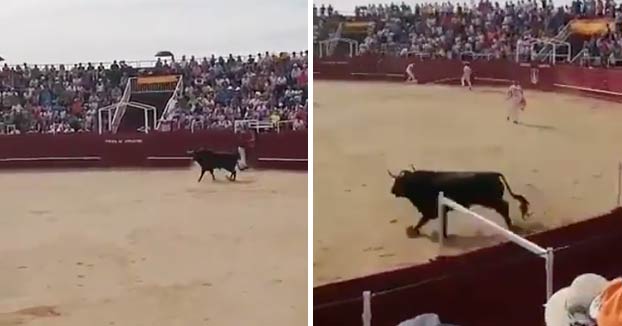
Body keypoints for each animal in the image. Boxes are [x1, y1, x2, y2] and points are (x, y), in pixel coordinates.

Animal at [390, 167, 532, 238]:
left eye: (398, 182)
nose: (392, 191)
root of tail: (494, 174)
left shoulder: (431, 211)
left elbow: (422, 220)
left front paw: (413, 230)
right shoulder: (441, 211)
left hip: (491, 200)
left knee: (504, 206)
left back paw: (510, 226)